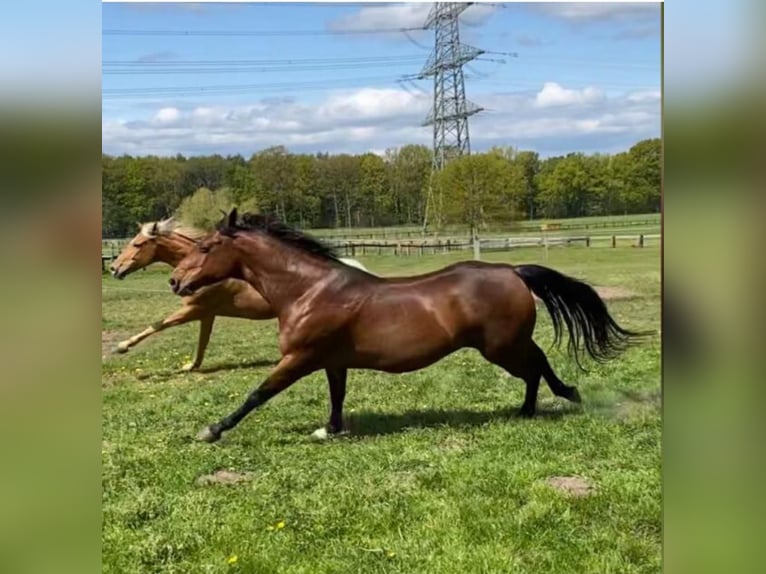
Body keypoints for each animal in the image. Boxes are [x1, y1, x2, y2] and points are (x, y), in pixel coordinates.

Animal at [108, 217, 369, 371]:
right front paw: (191, 366)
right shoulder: (206, 314)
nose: (114, 268)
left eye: (138, 244)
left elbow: (158, 324)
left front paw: (121, 347)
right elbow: (202, 342)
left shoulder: (193, 310)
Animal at [169, 209, 649, 443]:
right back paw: (539, 405)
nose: (176, 281)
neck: (308, 290)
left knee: (536, 365)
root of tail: (512, 270)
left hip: (502, 346)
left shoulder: (299, 358)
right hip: (505, 344)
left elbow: (257, 394)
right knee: (538, 364)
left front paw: (212, 431)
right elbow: (338, 396)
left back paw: (552, 400)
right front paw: (331, 430)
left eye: (207, 247)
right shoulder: (331, 360)